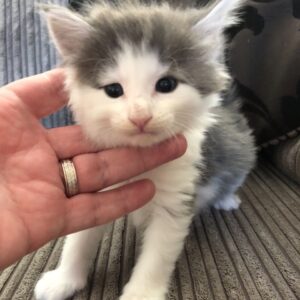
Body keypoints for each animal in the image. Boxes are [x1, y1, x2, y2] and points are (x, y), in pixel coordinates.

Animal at [35, 1, 255, 298]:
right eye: (113, 90)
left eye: (166, 85)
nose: (140, 116)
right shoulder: (101, 192)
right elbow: (79, 240)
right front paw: (64, 279)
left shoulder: (176, 200)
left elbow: (156, 257)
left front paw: (141, 292)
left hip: (240, 153)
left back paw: (227, 198)